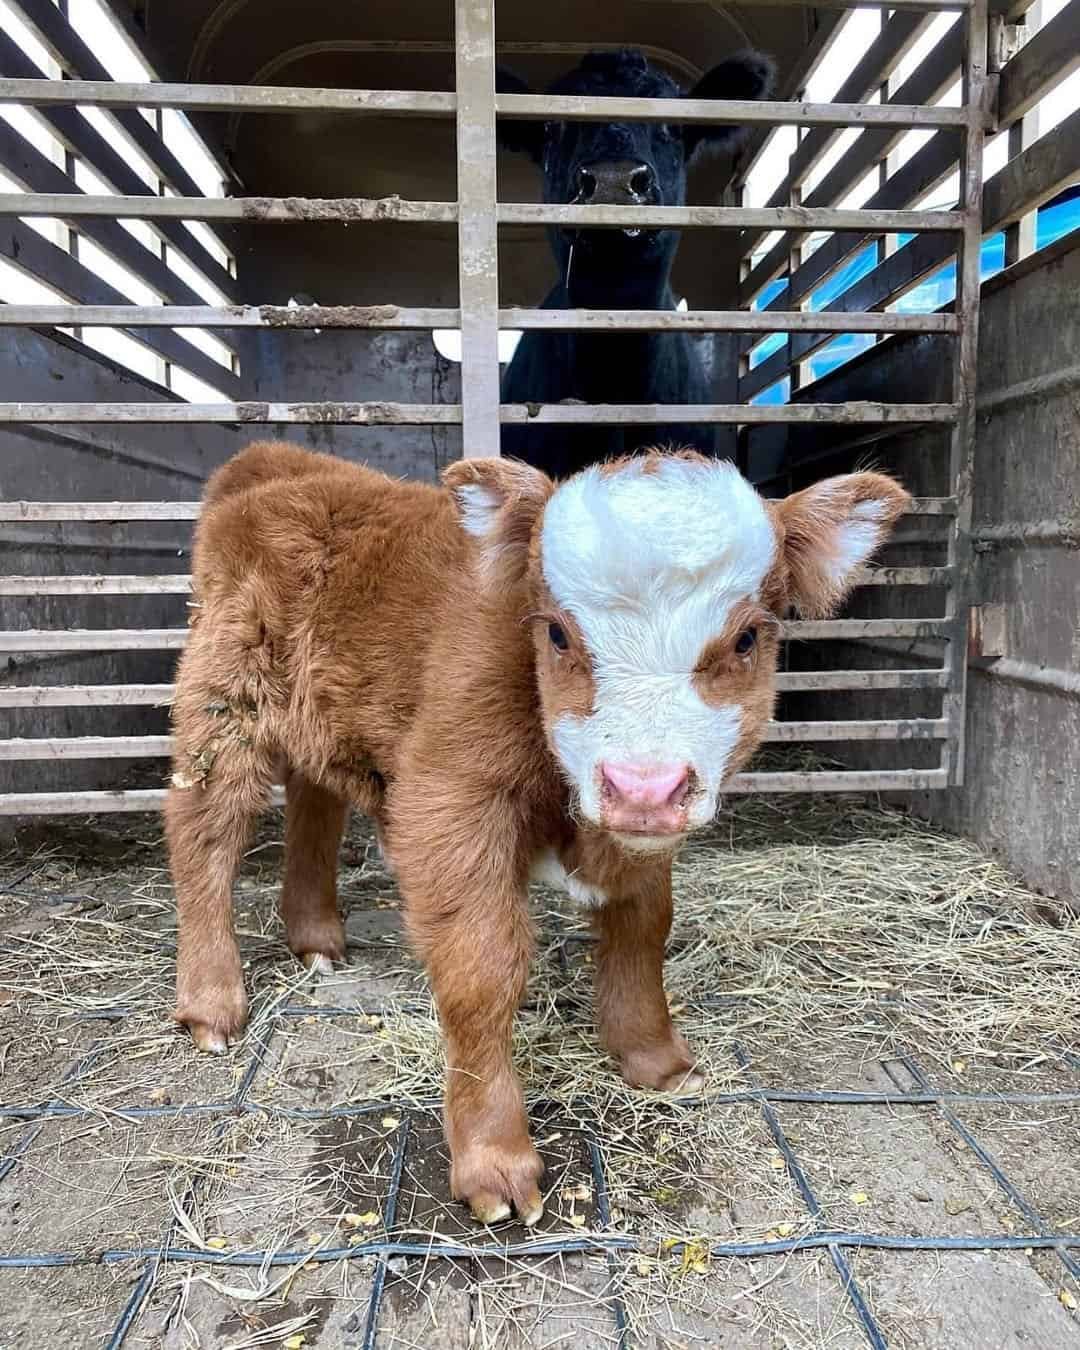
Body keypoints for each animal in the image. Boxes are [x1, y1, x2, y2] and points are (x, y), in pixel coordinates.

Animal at [166, 441, 908, 1226]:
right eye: (555, 631)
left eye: (747, 638)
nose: (643, 787)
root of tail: (278, 459)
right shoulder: (450, 798)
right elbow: (481, 968)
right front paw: (493, 1157)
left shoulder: (639, 839)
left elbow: (645, 925)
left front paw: (653, 1056)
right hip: (225, 699)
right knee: (202, 833)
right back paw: (212, 1001)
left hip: (321, 710)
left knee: (314, 799)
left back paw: (313, 935)